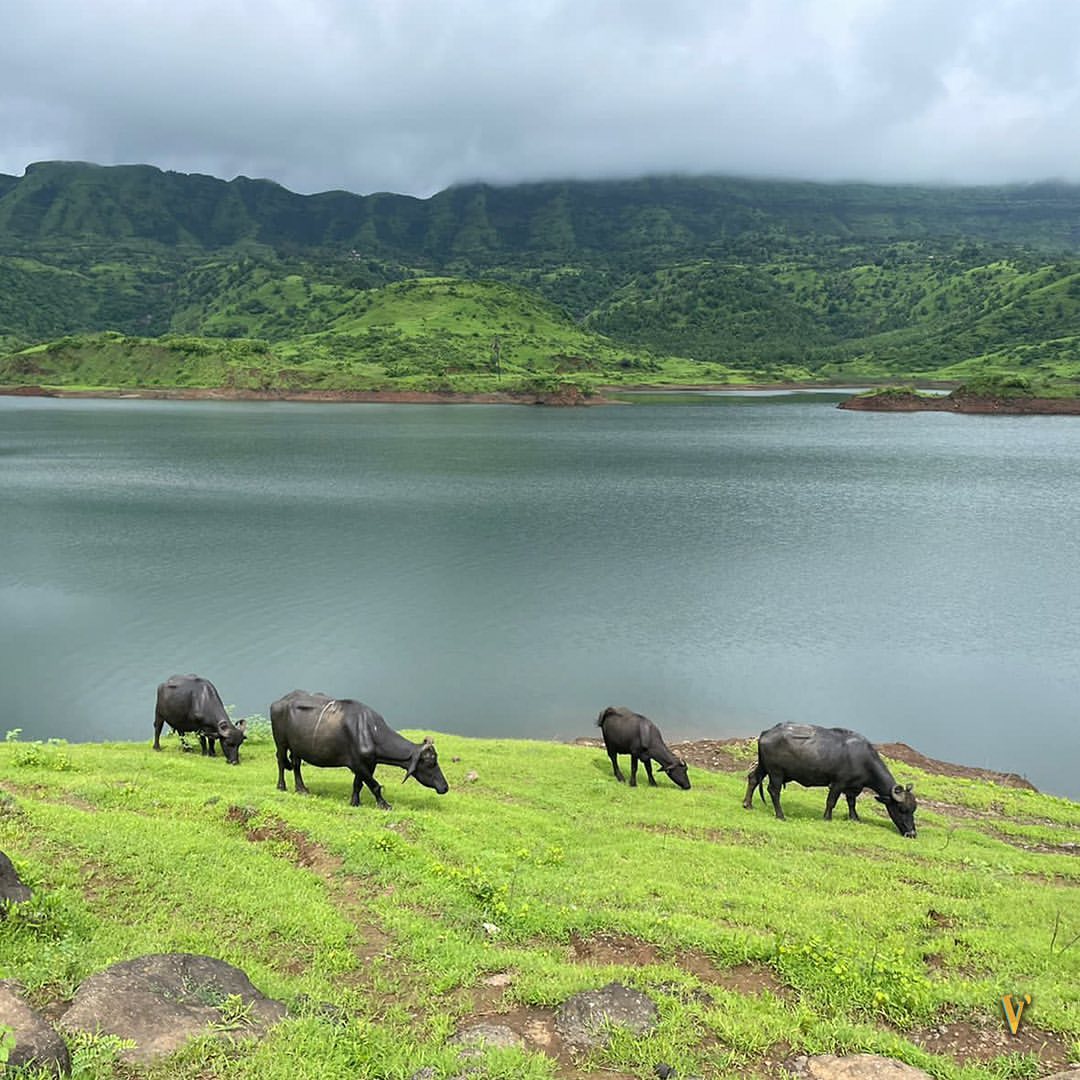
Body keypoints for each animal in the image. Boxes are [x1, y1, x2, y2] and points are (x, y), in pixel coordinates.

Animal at [274, 691, 451, 812]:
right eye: (431, 763)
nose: (445, 787)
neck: (370, 731)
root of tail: (281, 700)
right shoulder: (357, 764)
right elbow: (375, 785)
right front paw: (384, 804)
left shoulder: (369, 763)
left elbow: (358, 784)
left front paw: (355, 802)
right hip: (280, 742)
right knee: (281, 761)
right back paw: (282, 786)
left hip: (297, 747)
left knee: (296, 764)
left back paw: (301, 789)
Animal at [747, 721, 915, 838]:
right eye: (902, 809)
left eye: (914, 810)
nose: (912, 834)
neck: (863, 760)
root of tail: (767, 732)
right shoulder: (838, 783)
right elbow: (831, 801)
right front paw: (827, 817)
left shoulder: (853, 788)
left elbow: (852, 803)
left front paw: (855, 818)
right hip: (776, 772)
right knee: (774, 791)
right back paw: (780, 815)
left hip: (764, 767)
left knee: (753, 778)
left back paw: (747, 804)